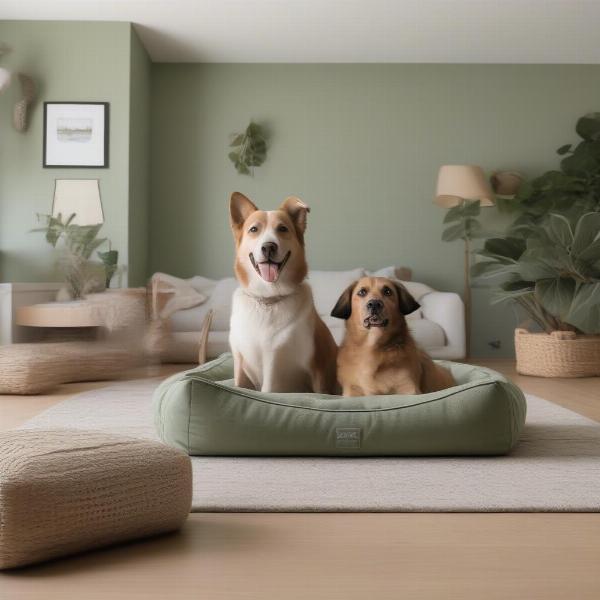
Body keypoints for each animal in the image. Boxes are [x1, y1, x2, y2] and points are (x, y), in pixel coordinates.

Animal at [227, 192, 338, 394]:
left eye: (282, 228)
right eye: (254, 229)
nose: (269, 247)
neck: (267, 299)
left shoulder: (276, 366)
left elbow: (269, 389)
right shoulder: (239, 362)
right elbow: (239, 386)